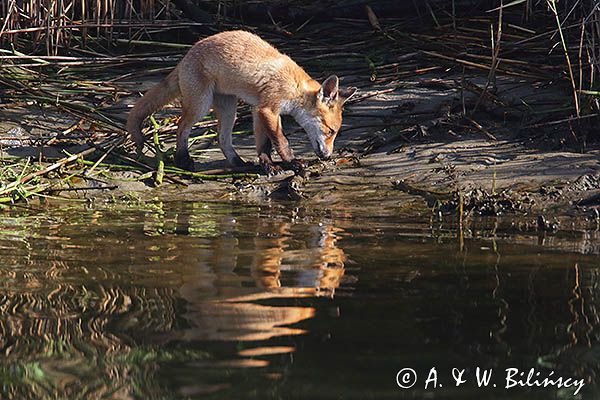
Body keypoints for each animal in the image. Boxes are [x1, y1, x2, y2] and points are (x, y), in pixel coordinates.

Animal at [125, 29, 352, 173]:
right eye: (330, 131)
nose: (328, 156)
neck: (294, 87)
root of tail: (185, 56)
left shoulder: (259, 110)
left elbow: (264, 144)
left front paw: (268, 165)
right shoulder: (268, 109)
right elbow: (282, 141)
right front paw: (292, 162)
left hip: (229, 109)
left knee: (222, 138)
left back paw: (238, 162)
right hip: (201, 106)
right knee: (182, 128)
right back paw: (182, 161)